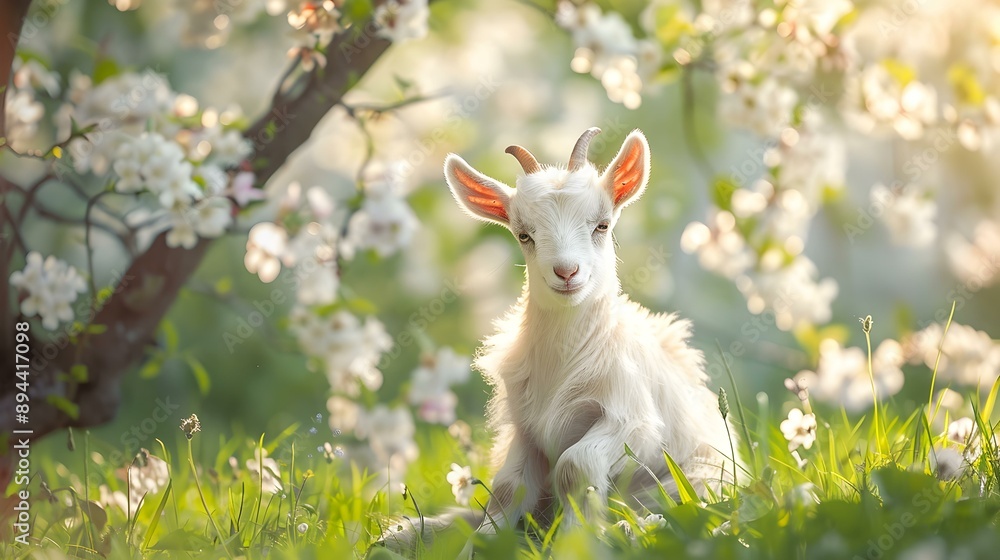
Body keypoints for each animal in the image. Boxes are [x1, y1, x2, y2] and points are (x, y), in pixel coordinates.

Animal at [381, 128, 740, 554]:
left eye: (602, 225)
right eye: (524, 235)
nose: (566, 272)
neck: (567, 358)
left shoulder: (631, 420)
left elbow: (575, 465)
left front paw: (577, 537)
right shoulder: (526, 429)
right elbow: (507, 488)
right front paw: (487, 542)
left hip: (693, 479)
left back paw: (632, 528)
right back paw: (399, 535)